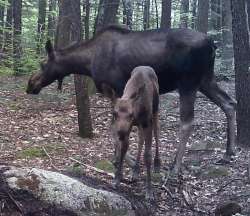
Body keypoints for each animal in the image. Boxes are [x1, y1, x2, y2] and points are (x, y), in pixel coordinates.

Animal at [27, 25, 236, 174]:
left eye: (43, 64)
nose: (30, 84)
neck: (87, 62)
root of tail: (212, 43)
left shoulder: (115, 88)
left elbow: (115, 127)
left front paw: (122, 158)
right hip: (206, 79)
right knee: (229, 103)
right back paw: (228, 153)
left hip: (188, 82)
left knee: (187, 122)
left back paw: (176, 167)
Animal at [112, 66, 160, 201]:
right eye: (114, 113)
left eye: (131, 114)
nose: (120, 132)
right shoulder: (129, 127)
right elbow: (123, 149)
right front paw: (117, 179)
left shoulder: (147, 123)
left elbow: (147, 155)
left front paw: (149, 191)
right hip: (139, 125)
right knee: (140, 140)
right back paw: (135, 170)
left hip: (155, 111)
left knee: (157, 133)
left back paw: (157, 163)